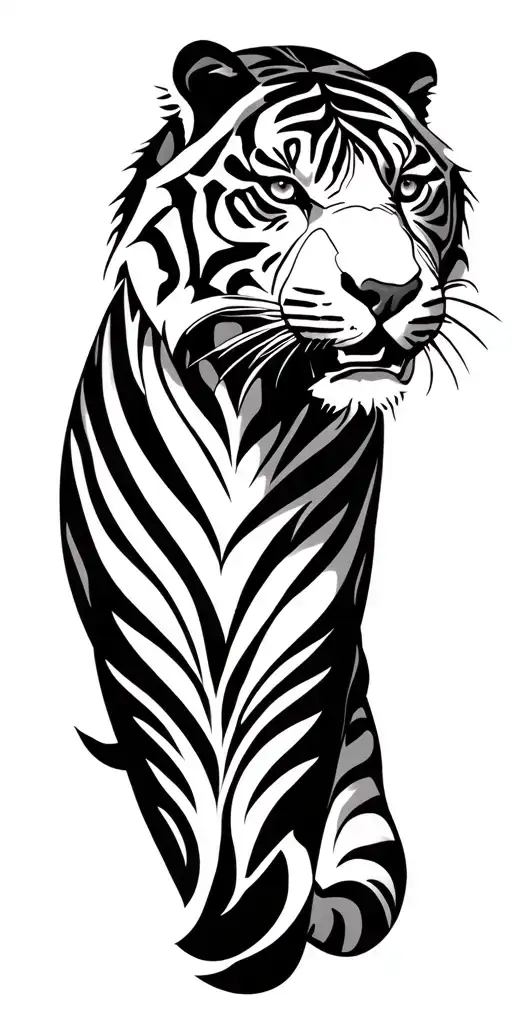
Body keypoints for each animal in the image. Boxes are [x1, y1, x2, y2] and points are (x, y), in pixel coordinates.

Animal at [60, 41, 482, 994]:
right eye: (283, 190)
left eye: (411, 187)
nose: (387, 289)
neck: (247, 414)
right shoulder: (143, 616)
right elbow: (180, 769)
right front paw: (224, 927)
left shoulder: (311, 609)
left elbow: (281, 766)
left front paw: (257, 926)